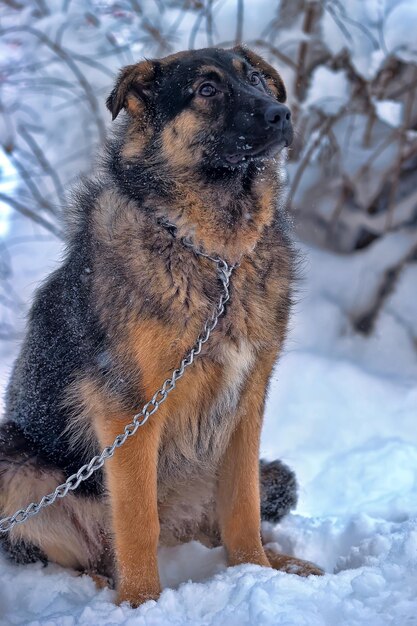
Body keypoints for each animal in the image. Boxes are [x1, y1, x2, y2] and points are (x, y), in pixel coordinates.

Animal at [0, 45, 322, 604]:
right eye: (207, 90)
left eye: (258, 80)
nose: (281, 114)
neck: (215, 256)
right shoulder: (128, 411)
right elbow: (136, 519)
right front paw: (141, 602)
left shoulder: (248, 403)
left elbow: (242, 507)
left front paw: (256, 572)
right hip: (13, 464)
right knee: (81, 551)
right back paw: (96, 589)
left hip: (249, 471)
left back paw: (285, 563)